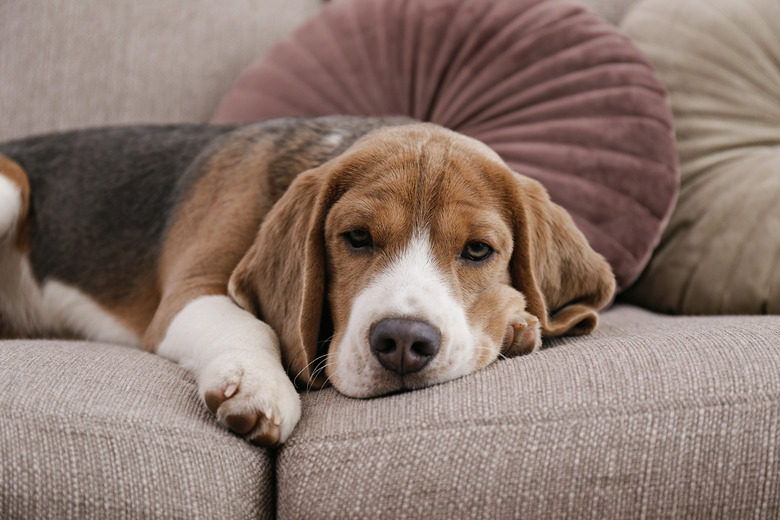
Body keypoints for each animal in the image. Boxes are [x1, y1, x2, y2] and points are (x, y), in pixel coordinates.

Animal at [0, 118, 616, 446]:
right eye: (357, 237)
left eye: (478, 250)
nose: (402, 343)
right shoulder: (188, 295)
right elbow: (255, 327)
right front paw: (258, 386)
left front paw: (516, 323)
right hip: (9, 188)